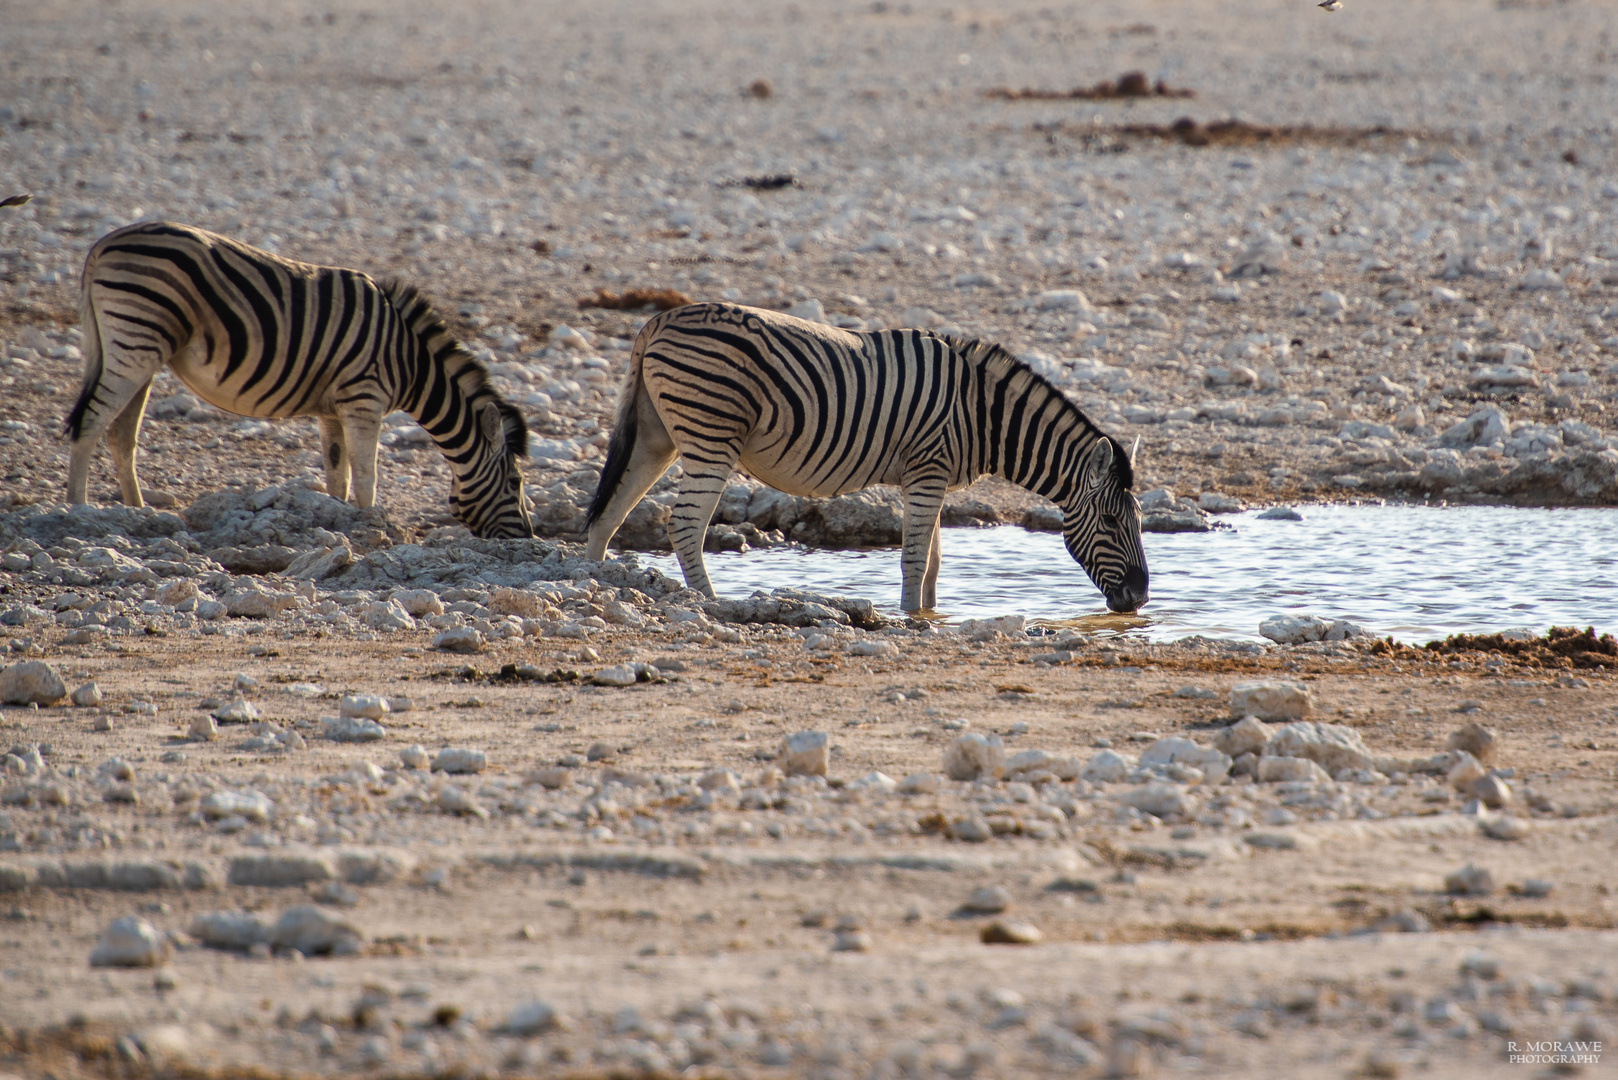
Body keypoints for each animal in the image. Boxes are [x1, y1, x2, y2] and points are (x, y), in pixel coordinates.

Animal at [64, 221, 530, 537]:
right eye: (516, 482)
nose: (527, 537)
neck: (411, 362)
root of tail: (102, 244)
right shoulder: (364, 398)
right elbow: (367, 474)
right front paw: (372, 525)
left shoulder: (333, 410)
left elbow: (338, 473)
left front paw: (339, 521)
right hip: (136, 337)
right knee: (91, 422)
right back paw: (77, 512)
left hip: (138, 349)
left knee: (121, 435)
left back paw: (137, 514)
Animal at [588, 299, 1145, 612]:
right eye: (1113, 522)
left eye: (1137, 521)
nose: (1140, 598)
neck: (981, 412)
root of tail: (658, 321)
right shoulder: (927, 471)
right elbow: (915, 559)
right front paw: (909, 619)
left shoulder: (932, 476)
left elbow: (934, 562)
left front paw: (928, 615)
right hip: (711, 435)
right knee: (684, 526)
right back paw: (709, 603)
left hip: (656, 437)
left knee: (607, 513)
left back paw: (591, 583)